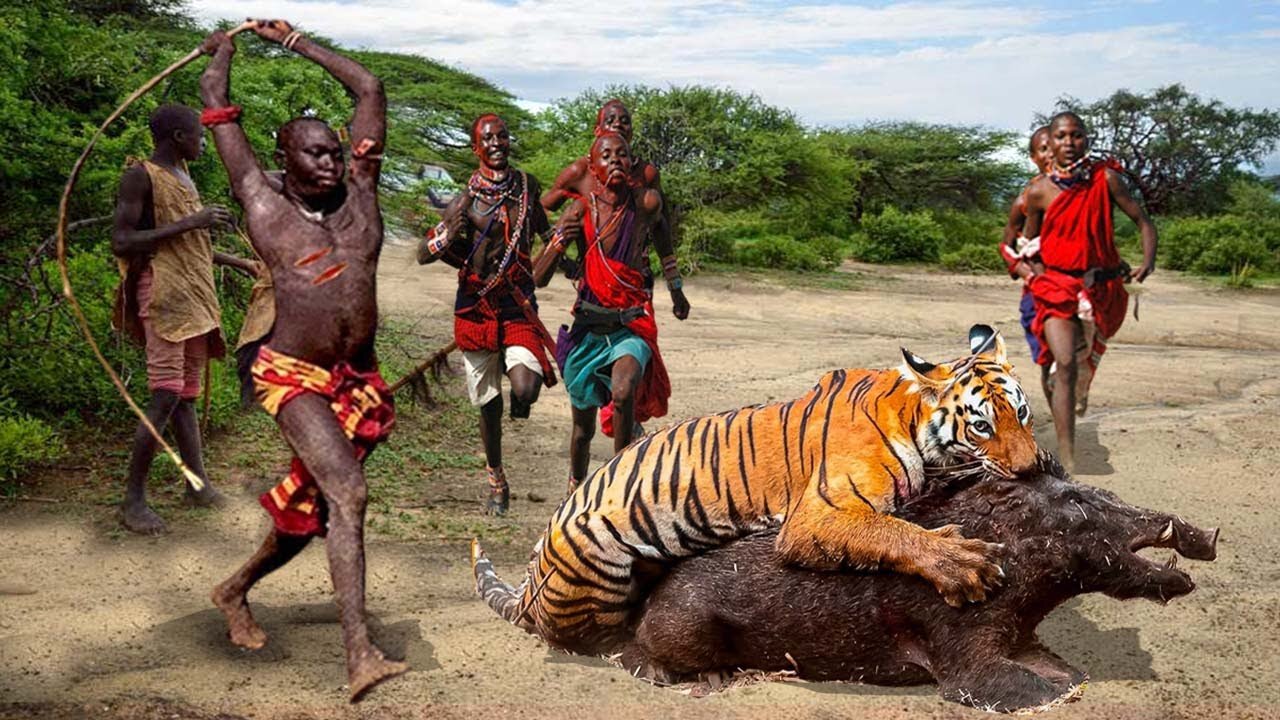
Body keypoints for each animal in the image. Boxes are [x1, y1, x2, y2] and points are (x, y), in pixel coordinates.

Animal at [471, 322, 1039, 653]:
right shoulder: (819, 514)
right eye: (981, 426)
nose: (1033, 468)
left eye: (1024, 413)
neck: (910, 416)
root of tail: (531, 574)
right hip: (599, 560)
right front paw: (963, 563)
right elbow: (892, 532)